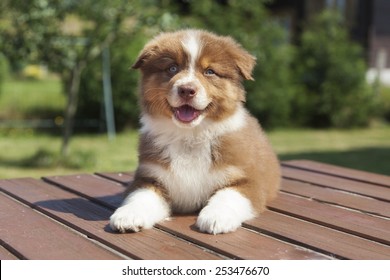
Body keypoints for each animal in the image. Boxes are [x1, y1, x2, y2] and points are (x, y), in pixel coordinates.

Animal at [109, 29, 280, 234]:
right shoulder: (150, 177)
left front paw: (216, 217)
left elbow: (228, 196)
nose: (186, 90)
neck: (190, 136)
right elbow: (139, 196)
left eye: (209, 71)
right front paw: (128, 215)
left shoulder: (247, 180)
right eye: (172, 68)